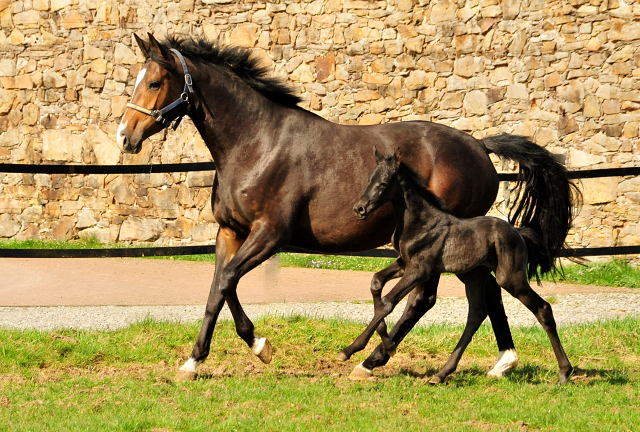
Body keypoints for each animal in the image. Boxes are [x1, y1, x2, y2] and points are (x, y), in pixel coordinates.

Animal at [342, 150, 572, 384]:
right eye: (369, 180)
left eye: (384, 183)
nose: (359, 208)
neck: (419, 222)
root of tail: (518, 232)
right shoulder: (404, 263)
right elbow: (376, 282)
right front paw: (381, 345)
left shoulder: (420, 270)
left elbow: (388, 302)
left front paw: (356, 349)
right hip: (473, 275)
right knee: (476, 314)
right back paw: (442, 373)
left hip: (510, 278)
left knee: (542, 308)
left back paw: (564, 372)